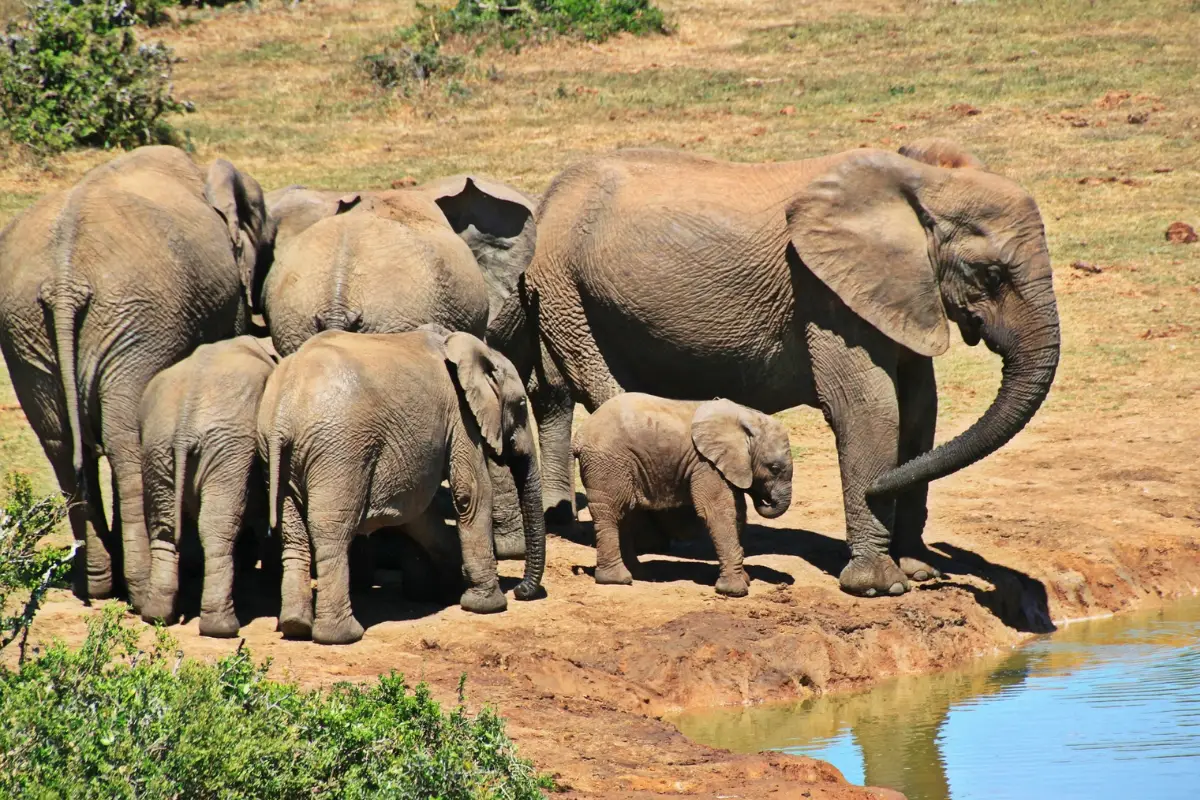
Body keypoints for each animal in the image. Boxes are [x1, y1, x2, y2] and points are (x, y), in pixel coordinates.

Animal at [0, 146, 274, 607]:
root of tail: (64, 282)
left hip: (28, 332)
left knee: (62, 446)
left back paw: (95, 584)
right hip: (136, 323)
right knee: (125, 444)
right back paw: (142, 591)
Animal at [138, 335, 279, 637]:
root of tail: (184, 426)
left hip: (156, 446)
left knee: (164, 527)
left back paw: (156, 616)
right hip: (228, 449)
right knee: (218, 528)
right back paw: (222, 628)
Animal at [256, 327, 545, 644]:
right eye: (521, 405)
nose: (521, 591)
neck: (472, 348)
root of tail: (283, 415)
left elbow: (419, 512)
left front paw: (448, 591)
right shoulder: (460, 415)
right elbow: (471, 493)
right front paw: (487, 605)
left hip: (277, 456)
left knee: (293, 535)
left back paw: (295, 626)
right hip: (339, 453)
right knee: (332, 533)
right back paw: (341, 636)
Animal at [572, 393, 793, 596]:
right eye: (774, 468)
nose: (765, 499)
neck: (746, 418)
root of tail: (579, 435)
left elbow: (738, 512)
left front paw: (744, 579)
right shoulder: (706, 464)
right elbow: (718, 512)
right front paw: (735, 591)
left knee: (625, 514)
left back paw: (638, 573)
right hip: (607, 463)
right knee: (611, 513)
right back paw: (618, 579)